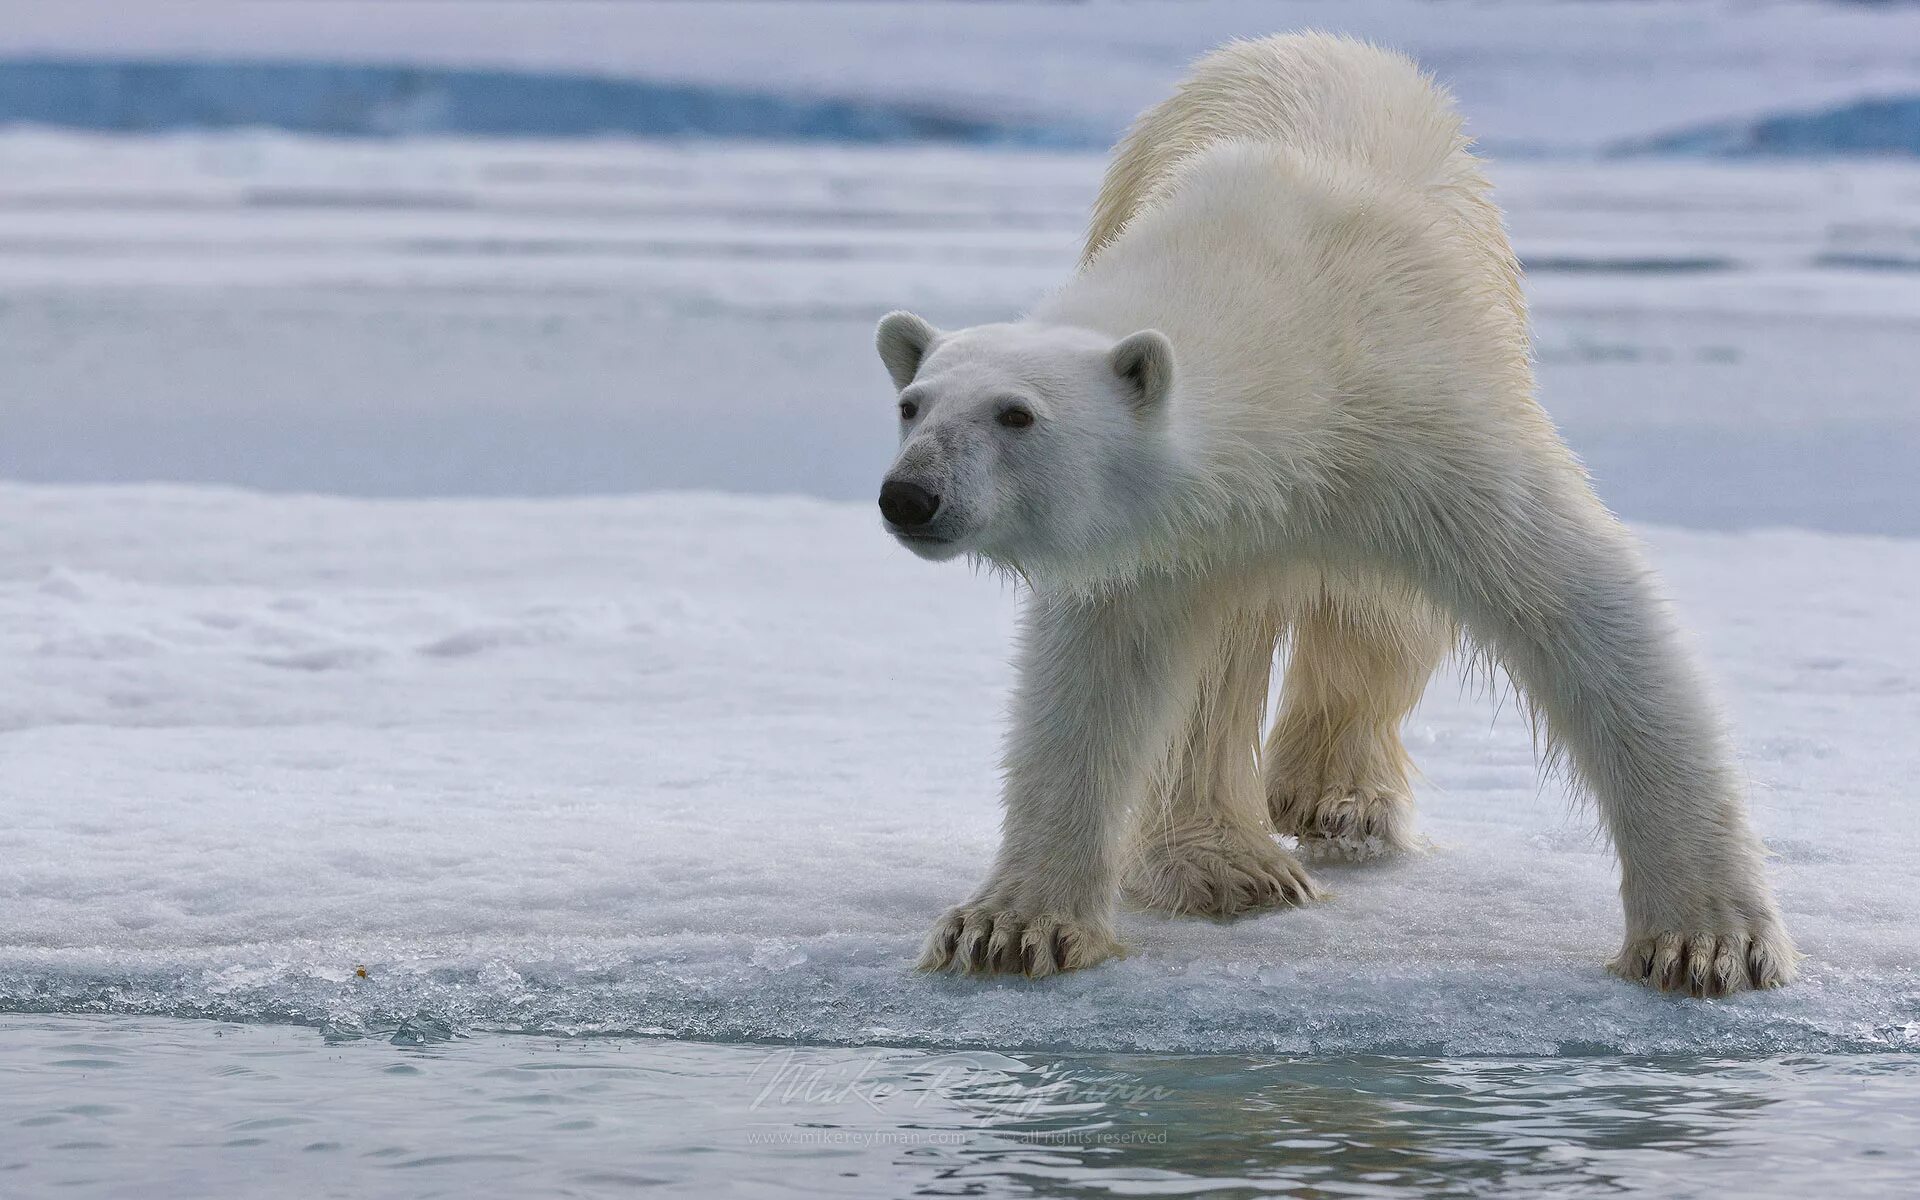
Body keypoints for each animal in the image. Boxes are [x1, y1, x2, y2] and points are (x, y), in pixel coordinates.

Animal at [875, 35, 1797, 990]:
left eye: (1017, 414)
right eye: (911, 404)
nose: (910, 494)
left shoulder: (1421, 412)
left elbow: (1581, 605)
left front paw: (1708, 942)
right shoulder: (1166, 538)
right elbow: (1099, 676)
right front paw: (1007, 927)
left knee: (1381, 625)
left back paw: (1338, 805)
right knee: (1226, 664)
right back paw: (1232, 865)